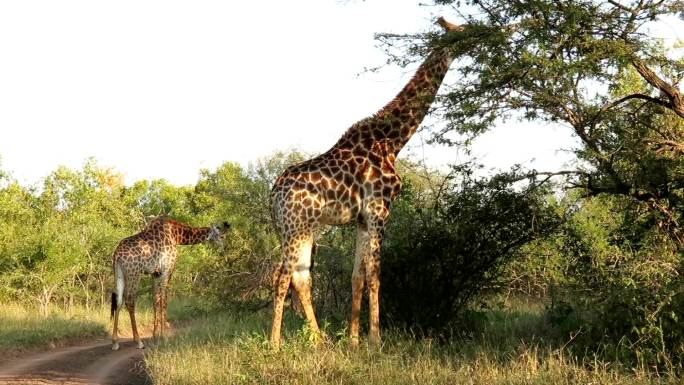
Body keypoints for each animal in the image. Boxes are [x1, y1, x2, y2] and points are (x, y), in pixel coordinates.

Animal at [109, 214, 230, 350]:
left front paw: (155, 334)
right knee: (130, 301)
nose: (226, 248)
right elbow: (164, 300)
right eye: (222, 236)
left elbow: (156, 300)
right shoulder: (167, 270)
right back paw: (138, 341)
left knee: (118, 301)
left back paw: (115, 342)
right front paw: (164, 335)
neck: (177, 235)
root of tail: (117, 255)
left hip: (119, 274)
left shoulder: (155, 273)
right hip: (134, 273)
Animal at [270, 18, 462, 346]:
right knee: (283, 276)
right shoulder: (379, 210)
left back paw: (320, 340)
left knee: (301, 277)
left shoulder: (362, 218)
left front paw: (354, 339)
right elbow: (375, 273)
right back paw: (274, 344)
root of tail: (272, 194)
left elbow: (357, 274)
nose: (486, 35)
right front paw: (375, 339)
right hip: (295, 227)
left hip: (301, 227)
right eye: (464, 31)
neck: (392, 142)